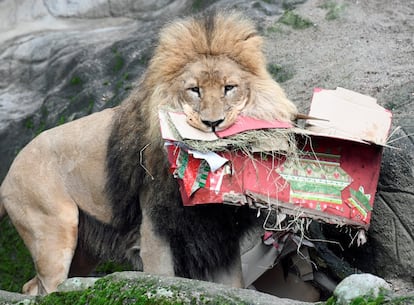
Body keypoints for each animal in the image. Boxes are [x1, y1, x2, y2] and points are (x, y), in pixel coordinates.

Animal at [0, 12, 298, 294]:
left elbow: (234, 285)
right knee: (48, 287)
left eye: (229, 88)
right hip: (53, 228)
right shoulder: (155, 229)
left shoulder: (219, 235)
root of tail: (8, 173)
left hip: (82, 250)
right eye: (194, 90)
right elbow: (162, 279)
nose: (213, 123)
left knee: (33, 286)